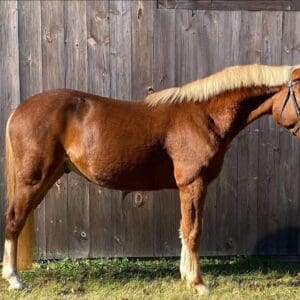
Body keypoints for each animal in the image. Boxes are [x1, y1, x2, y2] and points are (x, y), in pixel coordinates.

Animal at [1, 64, 300, 294]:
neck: (205, 116)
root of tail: (19, 110)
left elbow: (184, 229)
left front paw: (186, 277)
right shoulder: (193, 183)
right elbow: (193, 231)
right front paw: (198, 283)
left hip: (46, 178)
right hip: (33, 180)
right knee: (14, 220)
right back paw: (14, 280)